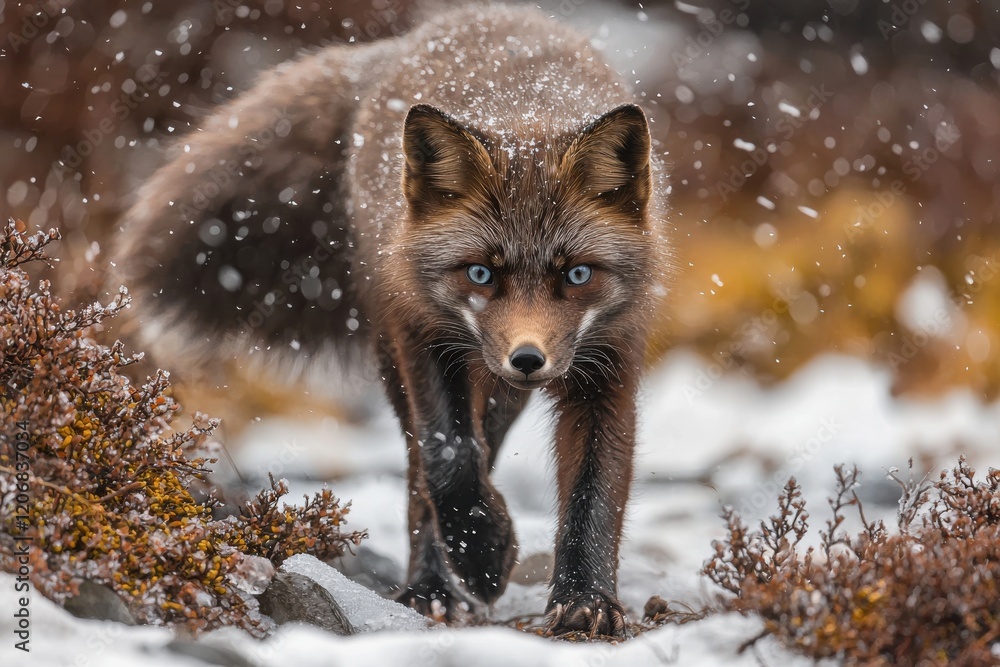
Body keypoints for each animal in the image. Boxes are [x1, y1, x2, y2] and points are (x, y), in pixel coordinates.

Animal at [110, 4, 670, 638]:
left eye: (576, 274)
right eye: (480, 273)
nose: (527, 359)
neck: (523, 108)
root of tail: (412, 38)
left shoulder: (609, 366)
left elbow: (594, 491)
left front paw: (586, 599)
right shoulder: (421, 335)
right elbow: (448, 458)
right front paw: (480, 554)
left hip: (503, 391)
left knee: (483, 444)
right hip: (401, 356)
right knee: (424, 470)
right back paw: (432, 586)